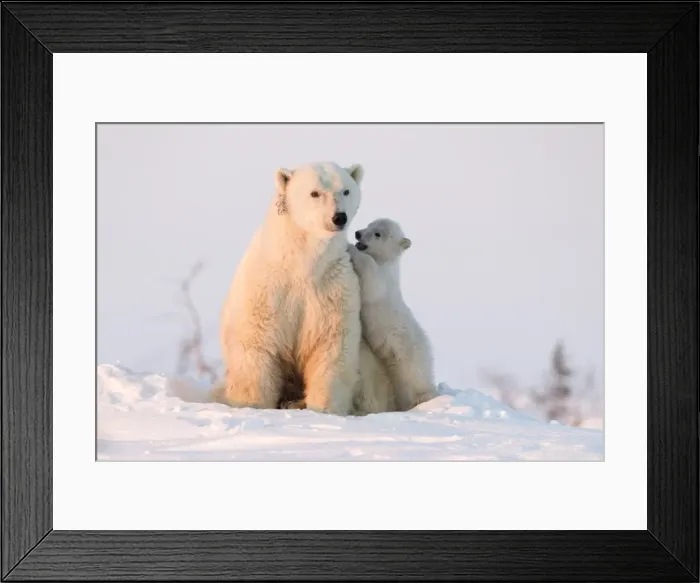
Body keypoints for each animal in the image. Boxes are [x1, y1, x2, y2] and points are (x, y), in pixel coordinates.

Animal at [217, 161, 366, 416]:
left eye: (346, 190)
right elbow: (255, 345)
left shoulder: (332, 288)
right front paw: (252, 405)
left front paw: (323, 409)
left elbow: (331, 346)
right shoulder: (266, 290)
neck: (300, 262)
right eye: (314, 193)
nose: (339, 217)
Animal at [349, 218, 438, 411]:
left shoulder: (384, 278)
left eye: (377, 234)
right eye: (369, 225)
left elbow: (371, 281)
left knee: (417, 378)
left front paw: (350, 247)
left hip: (411, 354)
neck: (386, 260)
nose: (358, 234)